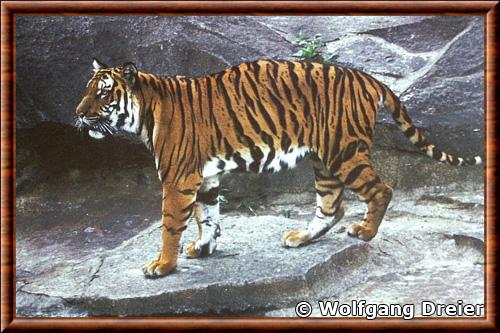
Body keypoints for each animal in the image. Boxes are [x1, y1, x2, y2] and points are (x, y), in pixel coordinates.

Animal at [74, 57, 480, 278]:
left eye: (103, 92)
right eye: (87, 89)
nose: (78, 113)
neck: (145, 112)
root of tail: (366, 76)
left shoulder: (178, 179)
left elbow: (171, 224)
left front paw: (163, 265)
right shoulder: (205, 177)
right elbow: (208, 216)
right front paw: (203, 247)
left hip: (343, 152)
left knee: (380, 190)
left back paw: (364, 232)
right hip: (325, 158)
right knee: (332, 206)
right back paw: (301, 238)